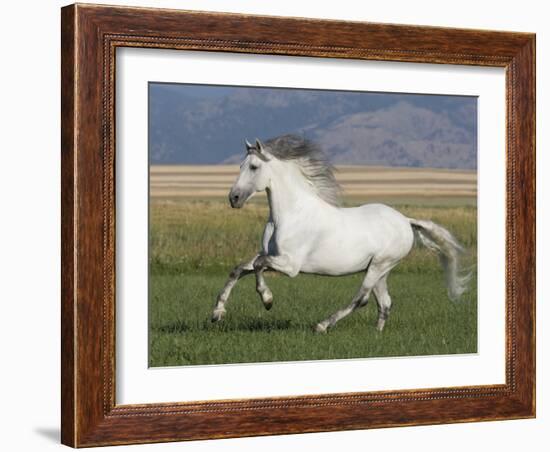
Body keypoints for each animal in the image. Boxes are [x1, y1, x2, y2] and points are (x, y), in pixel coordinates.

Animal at [211, 134, 470, 332]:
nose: (234, 198)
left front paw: (267, 300)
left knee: (361, 298)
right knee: (385, 303)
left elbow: (257, 267)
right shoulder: (269, 255)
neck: (290, 214)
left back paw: (322, 325)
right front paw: (217, 314)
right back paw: (377, 335)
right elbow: (239, 269)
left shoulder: (290, 265)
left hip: (380, 265)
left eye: (254, 167)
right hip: (380, 269)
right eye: (240, 166)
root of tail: (406, 221)